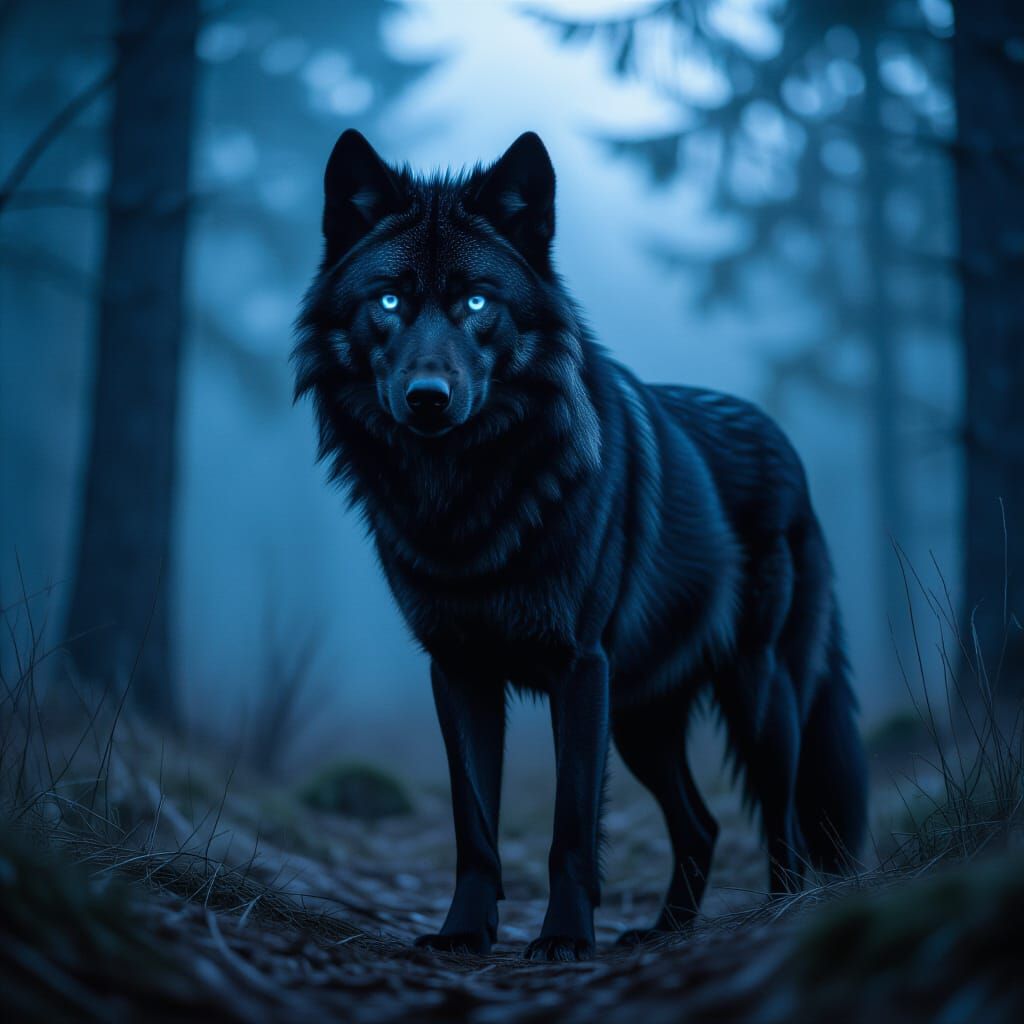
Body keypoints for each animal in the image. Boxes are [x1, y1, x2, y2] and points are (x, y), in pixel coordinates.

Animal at [293, 130, 868, 961]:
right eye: (390, 300)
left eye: (477, 302)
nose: (429, 398)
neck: (464, 501)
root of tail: (779, 438)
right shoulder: (458, 671)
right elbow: (474, 823)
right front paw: (464, 933)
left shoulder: (578, 669)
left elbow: (569, 825)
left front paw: (564, 937)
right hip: (641, 721)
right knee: (702, 823)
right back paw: (658, 931)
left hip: (756, 695)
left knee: (781, 816)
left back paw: (779, 916)